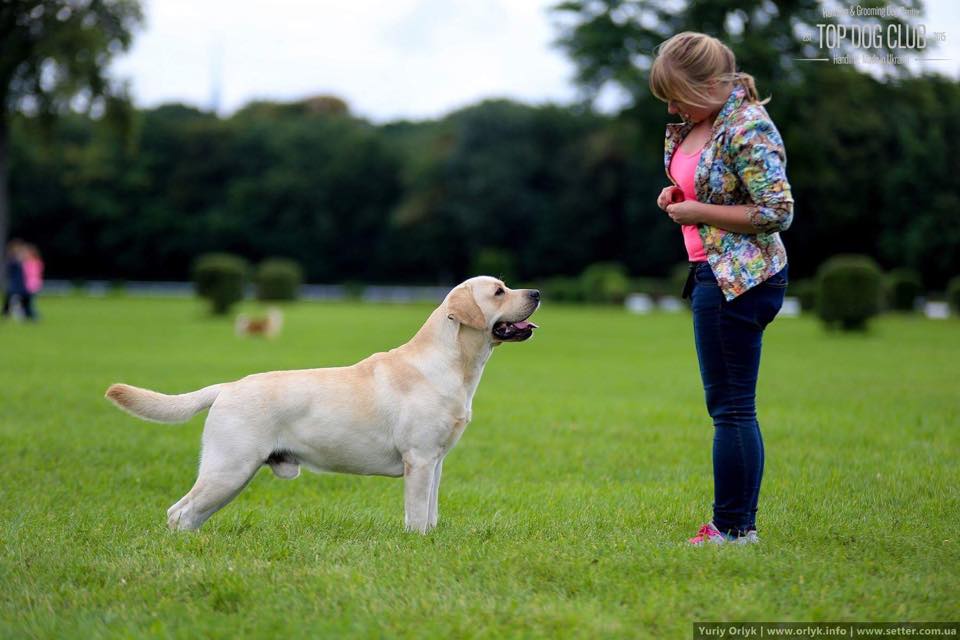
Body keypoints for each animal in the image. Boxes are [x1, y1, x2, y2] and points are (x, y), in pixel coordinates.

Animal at [107, 278, 540, 532]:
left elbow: (431, 512)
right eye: (499, 292)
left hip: (230, 474)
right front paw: (417, 543)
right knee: (179, 512)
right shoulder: (418, 460)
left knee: (188, 515)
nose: (536, 294)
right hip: (229, 468)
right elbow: (417, 514)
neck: (453, 363)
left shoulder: (435, 462)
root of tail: (226, 387)